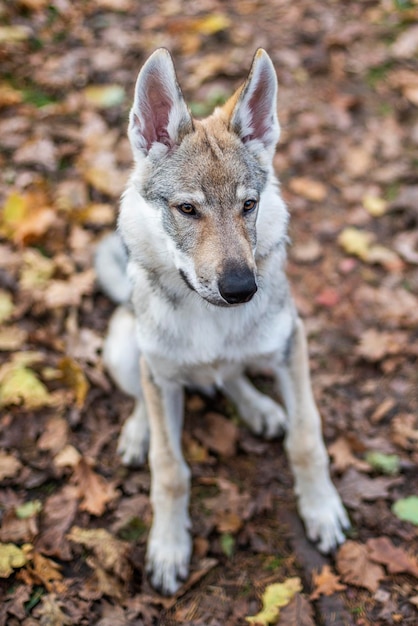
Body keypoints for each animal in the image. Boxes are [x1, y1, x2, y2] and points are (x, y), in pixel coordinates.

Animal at [95, 46, 350, 592]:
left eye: (248, 206)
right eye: (188, 209)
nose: (241, 289)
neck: (207, 318)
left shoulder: (291, 345)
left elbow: (307, 439)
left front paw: (321, 511)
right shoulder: (160, 375)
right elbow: (169, 470)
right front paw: (169, 548)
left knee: (231, 375)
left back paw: (259, 409)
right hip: (126, 350)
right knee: (143, 397)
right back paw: (138, 431)